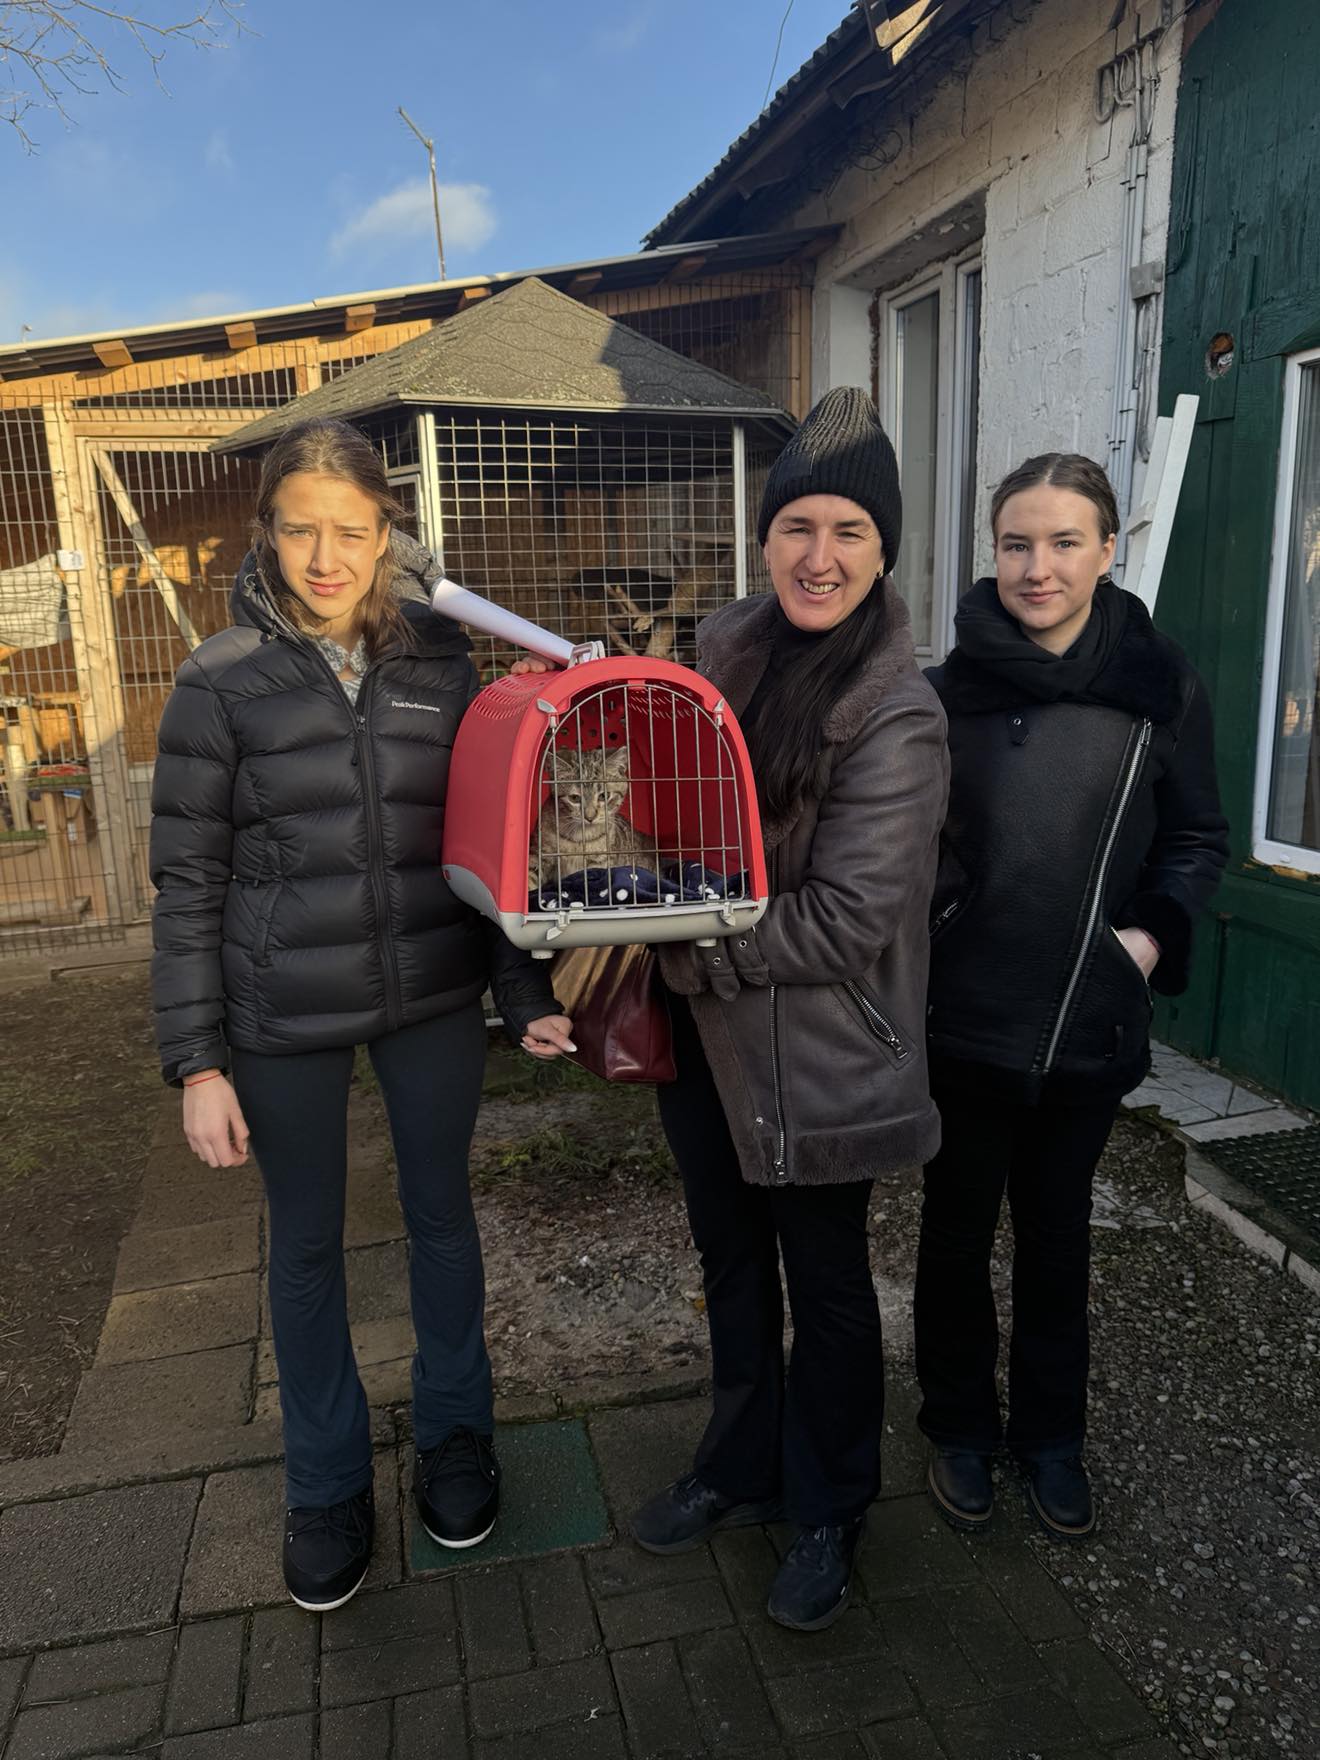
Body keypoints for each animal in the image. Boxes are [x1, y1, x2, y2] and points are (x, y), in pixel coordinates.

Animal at [529, 744, 648, 893]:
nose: (590, 817)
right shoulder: (539, 854)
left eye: (604, 796)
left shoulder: (599, 863)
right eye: (574, 798)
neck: (578, 839)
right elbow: (530, 875)